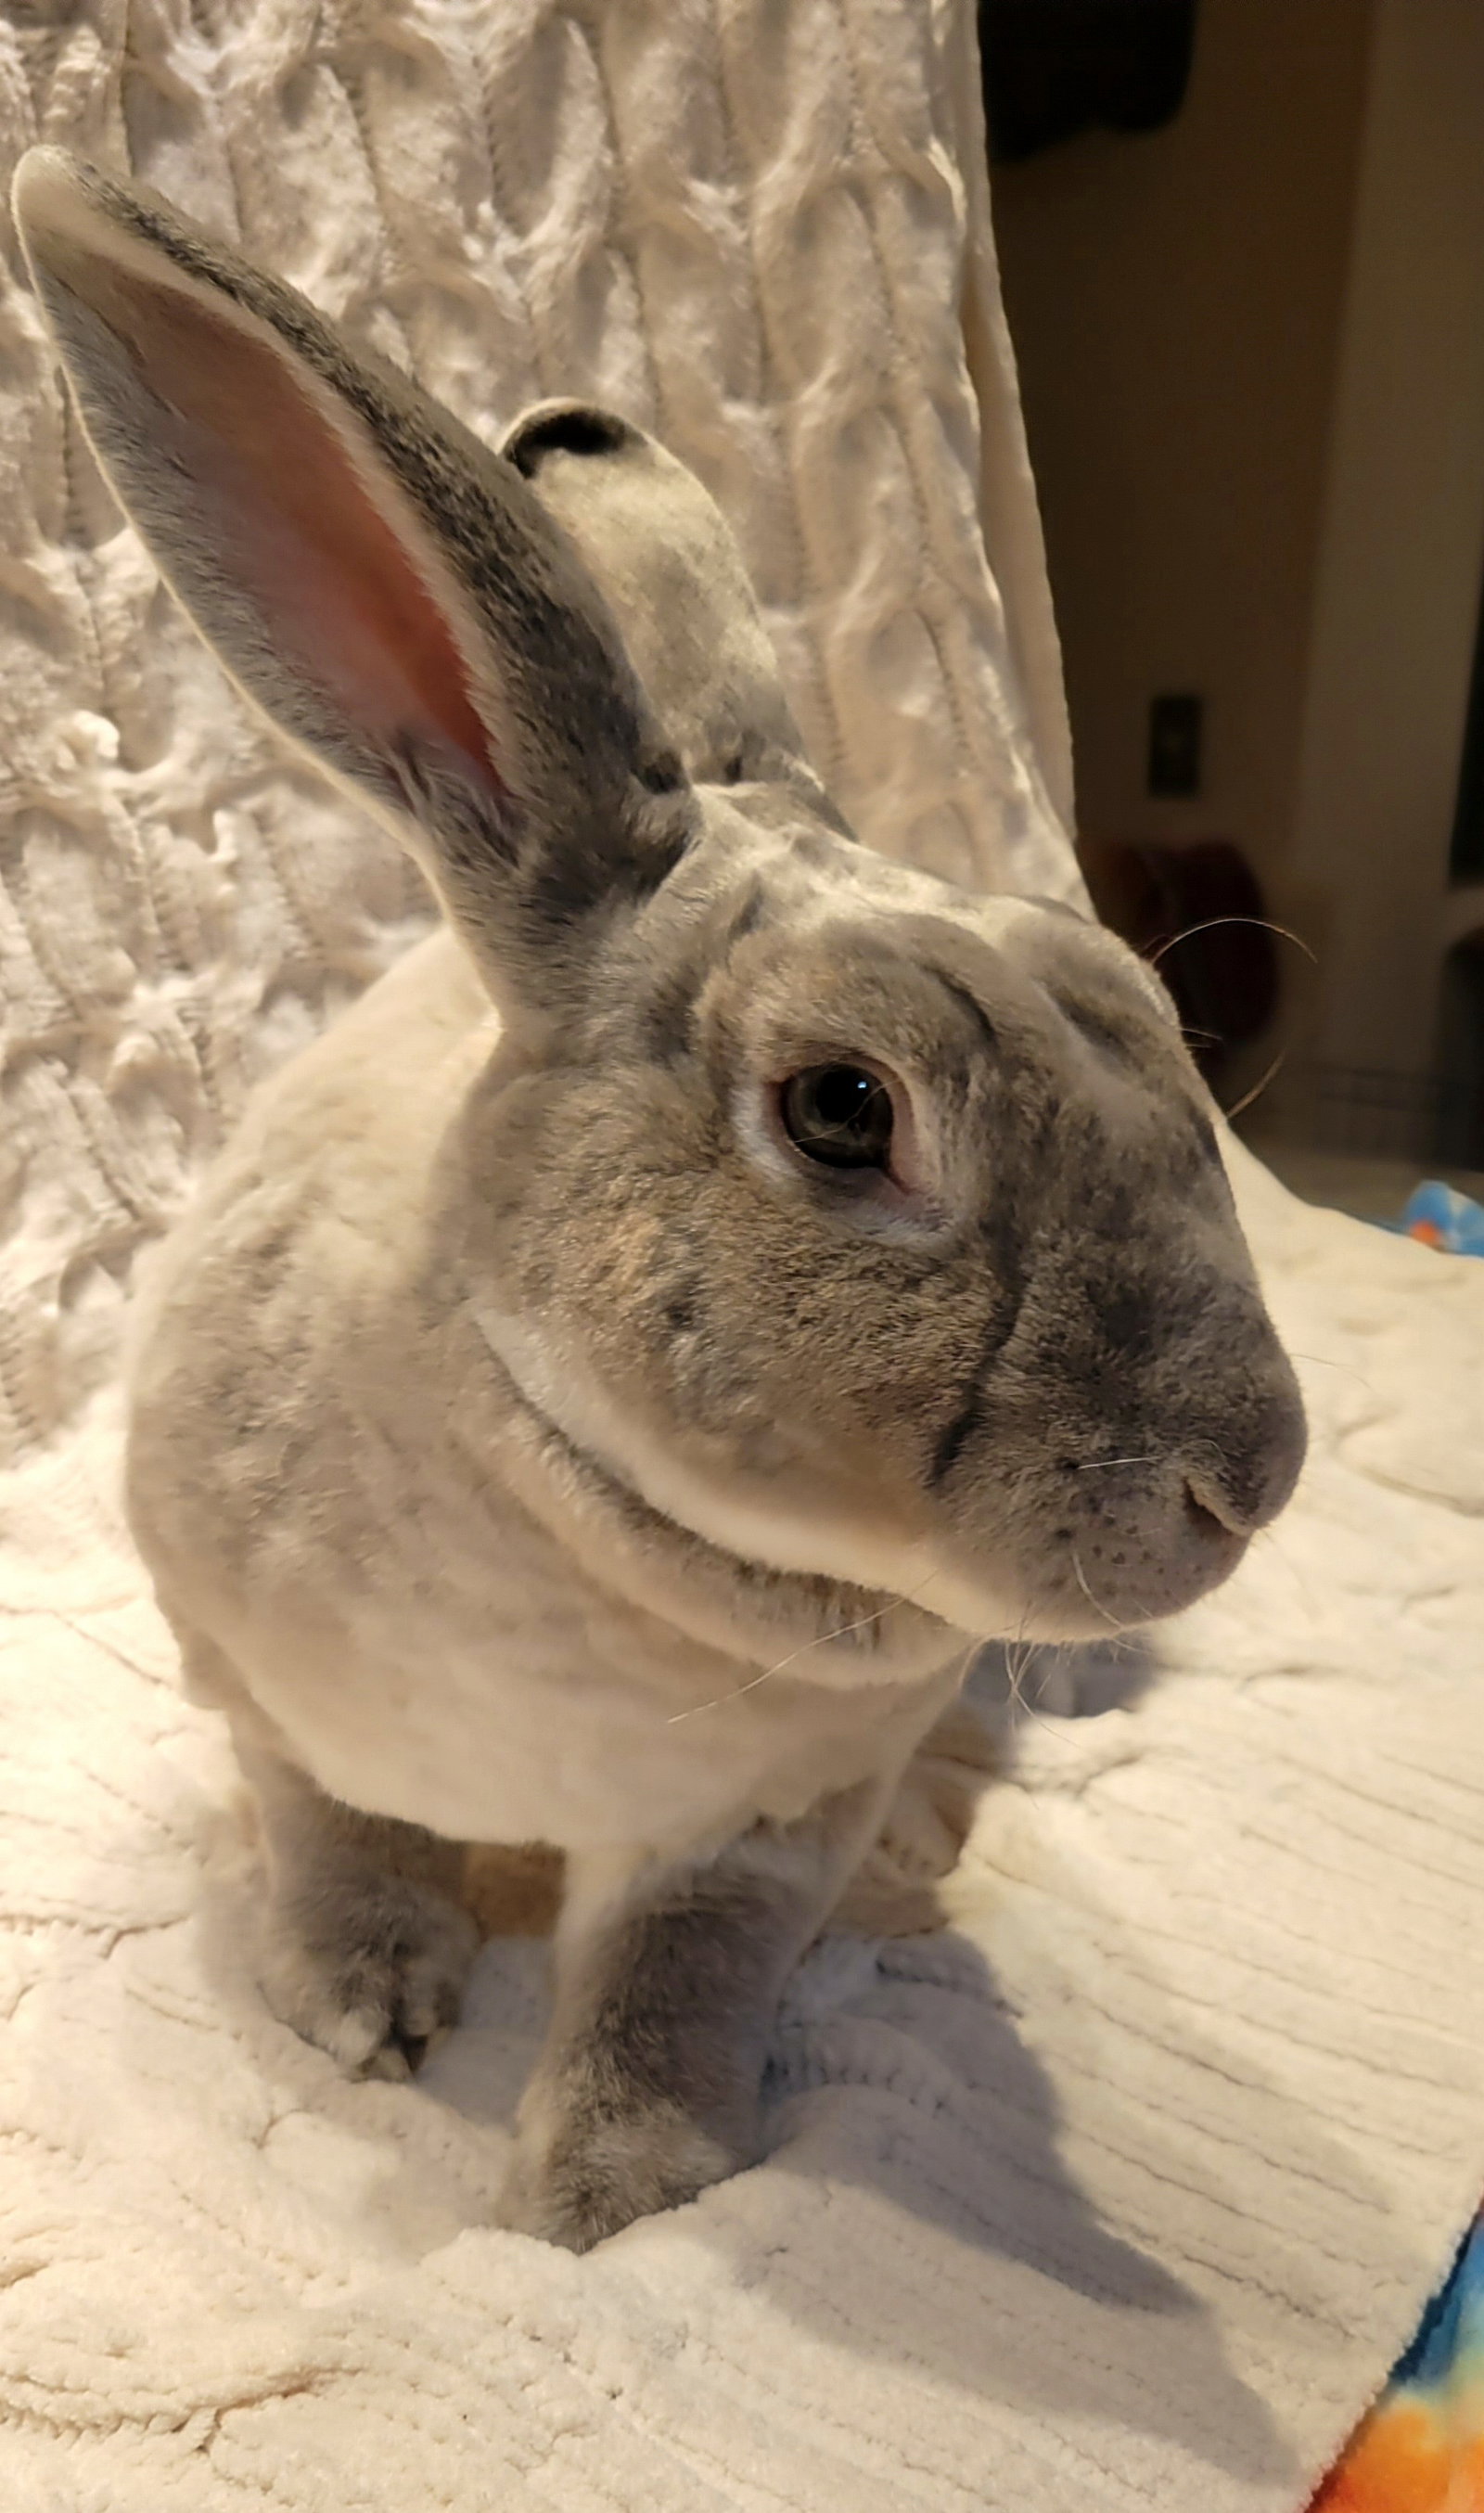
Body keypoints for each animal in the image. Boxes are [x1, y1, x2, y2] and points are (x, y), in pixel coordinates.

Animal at [13, 148, 1306, 2252]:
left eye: (1142, 1014)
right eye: (844, 1109)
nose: (1250, 1477)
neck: (593, 1515)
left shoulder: (756, 1828)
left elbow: (670, 1977)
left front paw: (604, 2195)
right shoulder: (262, 1696)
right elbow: (327, 1829)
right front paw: (358, 2006)